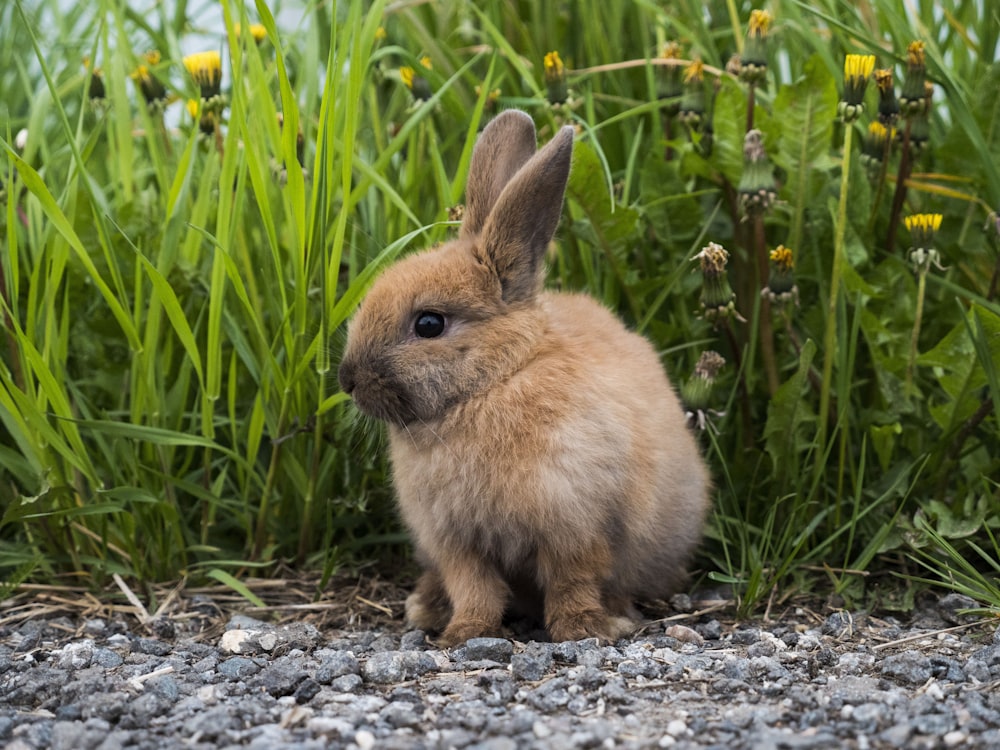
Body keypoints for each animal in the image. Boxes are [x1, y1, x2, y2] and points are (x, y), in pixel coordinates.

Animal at [338, 110, 712, 648]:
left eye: (429, 324)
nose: (347, 379)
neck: (492, 385)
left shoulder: (578, 525)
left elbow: (572, 580)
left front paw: (582, 629)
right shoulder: (456, 542)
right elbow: (474, 588)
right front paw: (463, 634)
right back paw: (426, 607)